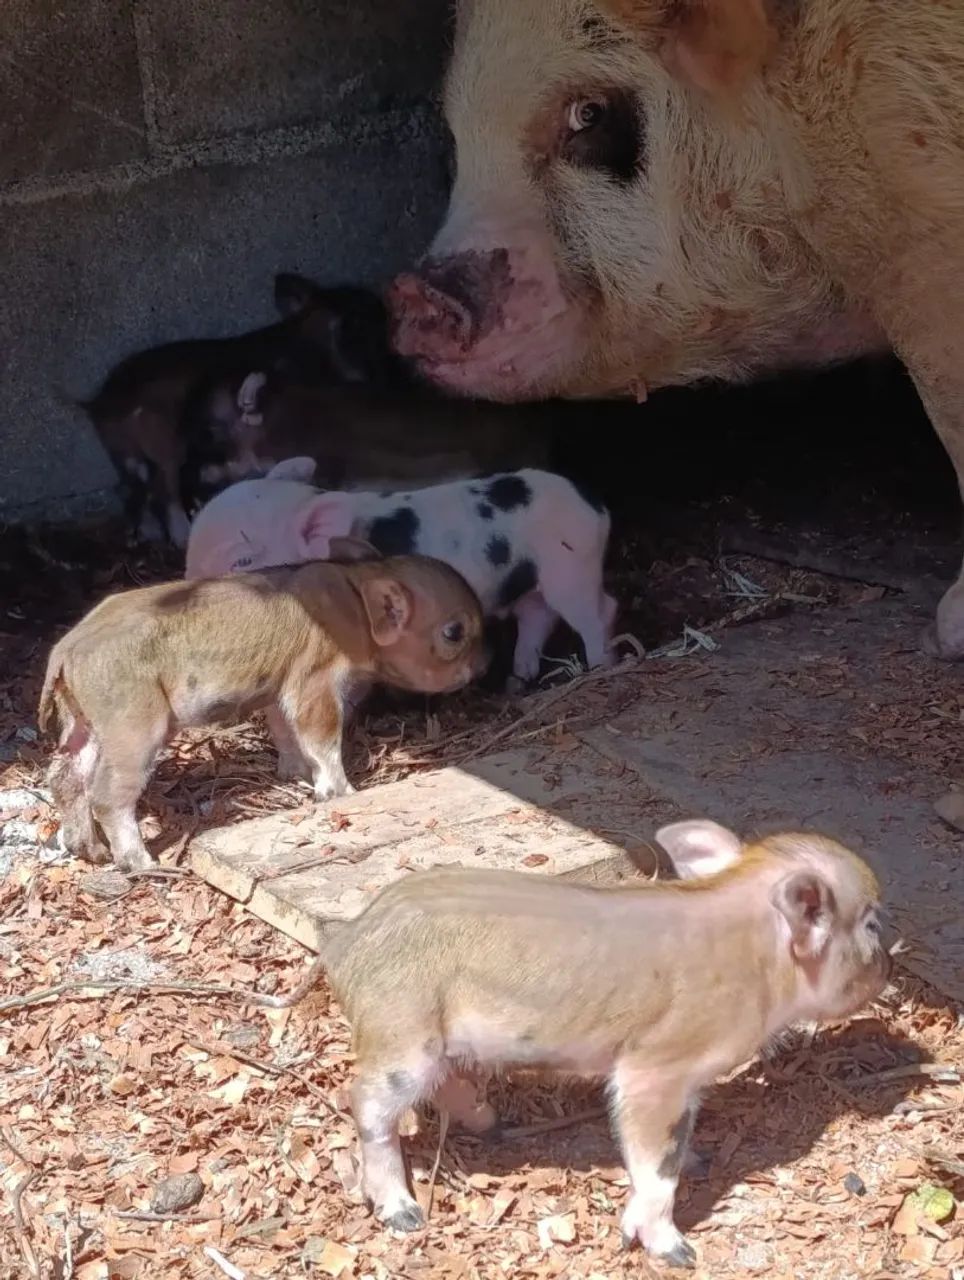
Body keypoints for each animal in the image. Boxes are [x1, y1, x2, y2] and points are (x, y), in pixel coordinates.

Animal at [38, 544, 487, 873]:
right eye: (454, 632)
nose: (485, 664)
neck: (355, 602)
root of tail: (66, 649)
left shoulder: (278, 690)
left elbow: (287, 734)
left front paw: (296, 776)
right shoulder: (315, 681)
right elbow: (322, 739)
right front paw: (343, 793)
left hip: (85, 726)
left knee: (64, 779)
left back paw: (90, 852)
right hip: (134, 729)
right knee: (107, 795)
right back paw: (144, 864)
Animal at [80, 274, 398, 547]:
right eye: (351, 325)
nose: (383, 377)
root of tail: (100, 404)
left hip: (125, 453)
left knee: (132, 489)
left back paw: (149, 534)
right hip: (163, 445)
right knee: (164, 491)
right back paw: (181, 537)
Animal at [184, 458, 617, 681]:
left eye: (242, 559)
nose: (187, 584)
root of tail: (594, 503)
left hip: (573, 568)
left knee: (601, 611)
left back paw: (600, 667)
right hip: (532, 581)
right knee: (537, 617)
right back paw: (521, 678)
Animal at [278, 819, 891, 1263]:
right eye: (871, 924)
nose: (887, 967)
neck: (755, 958)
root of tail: (347, 941)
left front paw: (699, 1160)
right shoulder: (654, 1070)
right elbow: (655, 1166)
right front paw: (678, 1253)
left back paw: (494, 1124)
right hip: (402, 1034)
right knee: (366, 1103)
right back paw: (406, 1215)